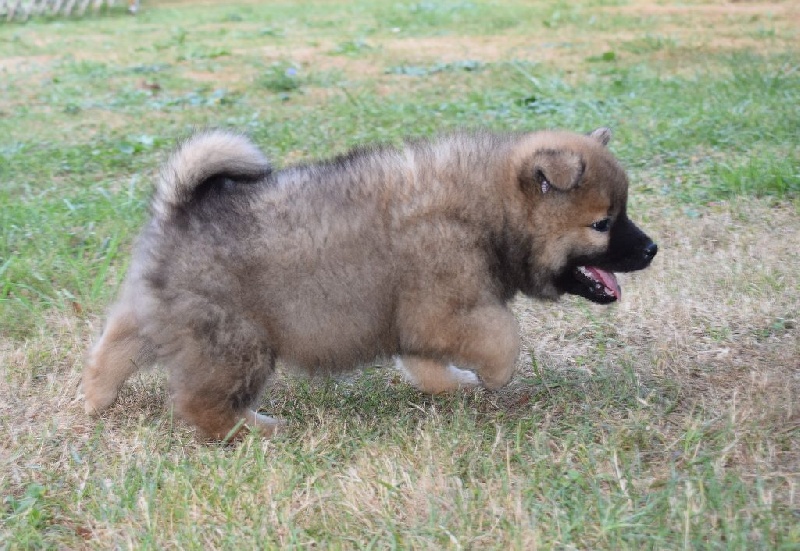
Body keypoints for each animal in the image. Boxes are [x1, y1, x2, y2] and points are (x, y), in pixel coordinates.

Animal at [83, 127, 657, 439]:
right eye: (602, 224)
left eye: (622, 213)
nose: (652, 249)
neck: (489, 211)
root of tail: (179, 210)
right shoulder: (447, 309)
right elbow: (503, 340)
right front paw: (493, 377)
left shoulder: (421, 321)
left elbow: (428, 364)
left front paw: (455, 385)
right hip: (237, 343)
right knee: (200, 405)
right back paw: (259, 430)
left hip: (156, 315)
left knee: (115, 345)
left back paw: (95, 397)